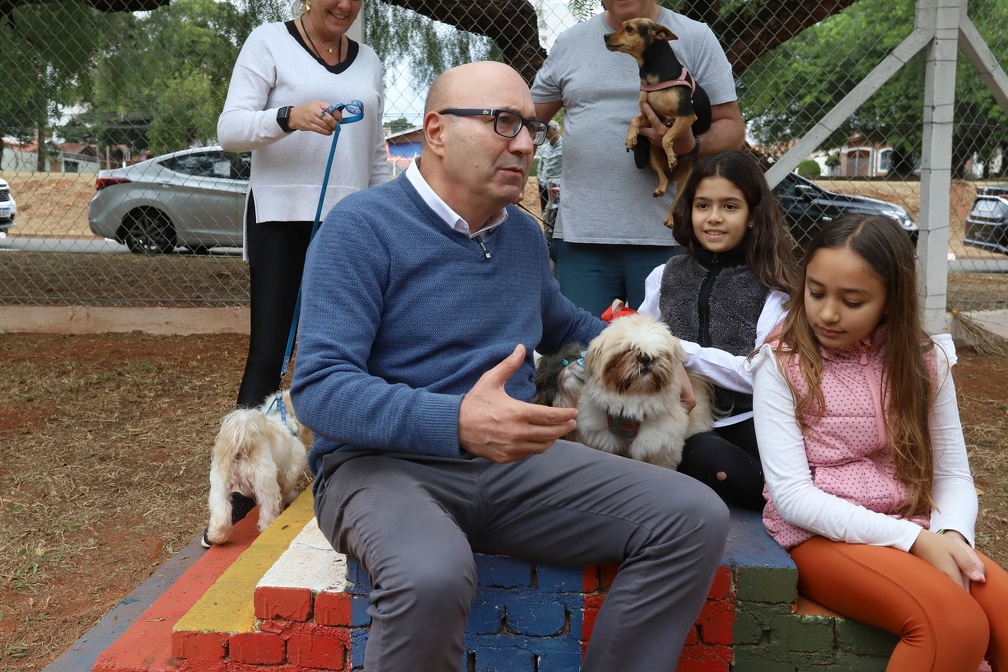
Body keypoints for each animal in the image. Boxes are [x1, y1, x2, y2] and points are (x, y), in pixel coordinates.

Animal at [203, 388, 310, 548]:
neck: (283, 417)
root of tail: (243, 445)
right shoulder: (289, 471)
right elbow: (286, 487)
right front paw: (290, 497)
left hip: (219, 486)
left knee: (221, 510)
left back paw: (217, 536)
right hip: (265, 482)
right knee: (268, 507)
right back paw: (268, 527)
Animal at [576, 312, 717, 471]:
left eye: (660, 354)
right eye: (627, 351)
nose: (645, 358)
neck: (634, 397)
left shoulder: (659, 447)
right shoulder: (603, 438)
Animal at [600, 16, 713, 223]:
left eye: (629, 29)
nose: (605, 36)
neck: (653, 76)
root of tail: (674, 173)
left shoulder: (686, 117)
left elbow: (666, 137)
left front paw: (671, 154)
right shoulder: (651, 116)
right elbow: (635, 120)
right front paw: (631, 138)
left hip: (687, 181)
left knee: (676, 201)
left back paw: (670, 218)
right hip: (653, 156)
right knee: (664, 178)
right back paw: (661, 187)